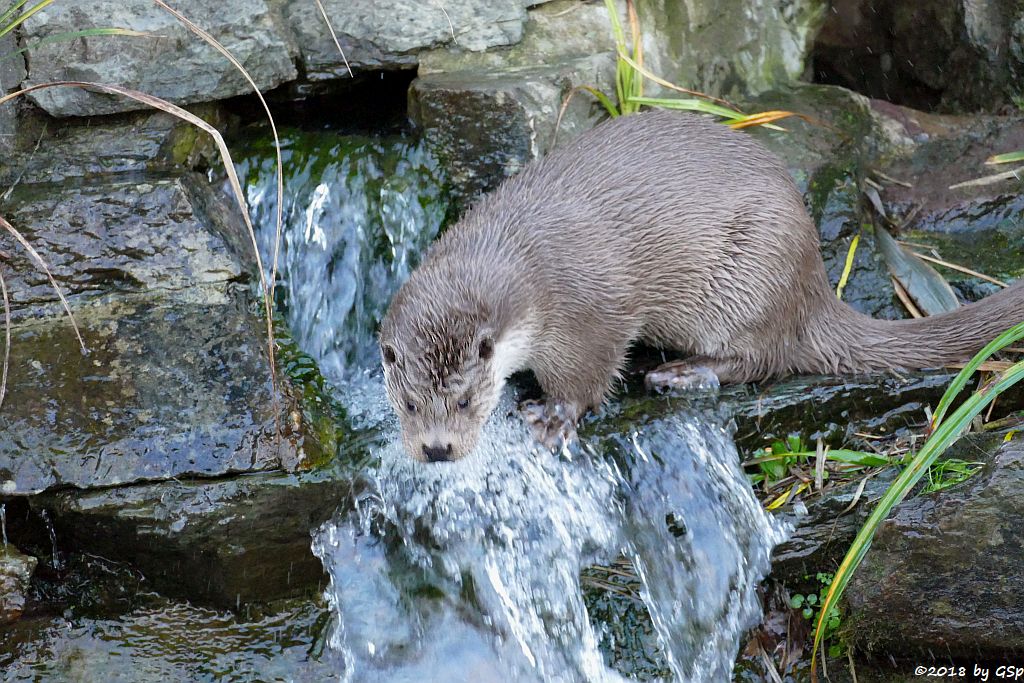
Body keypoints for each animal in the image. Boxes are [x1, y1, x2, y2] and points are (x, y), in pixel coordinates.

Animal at [378, 111, 1024, 464]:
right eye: (407, 404)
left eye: (465, 401)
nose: (437, 449)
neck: (525, 258)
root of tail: (813, 285)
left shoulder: (590, 308)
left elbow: (590, 370)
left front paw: (554, 416)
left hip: (750, 275)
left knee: (767, 358)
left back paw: (683, 373)